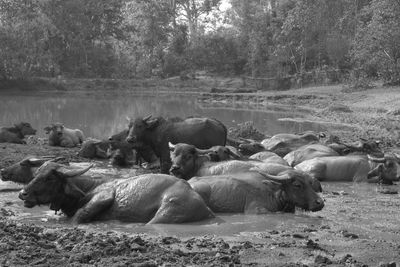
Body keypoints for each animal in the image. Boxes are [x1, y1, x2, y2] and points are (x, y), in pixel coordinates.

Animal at [18, 162, 216, 225]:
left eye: (49, 178)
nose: (22, 193)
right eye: (36, 174)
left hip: (167, 211)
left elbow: (81, 214)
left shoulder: (103, 196)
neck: (87, 187)